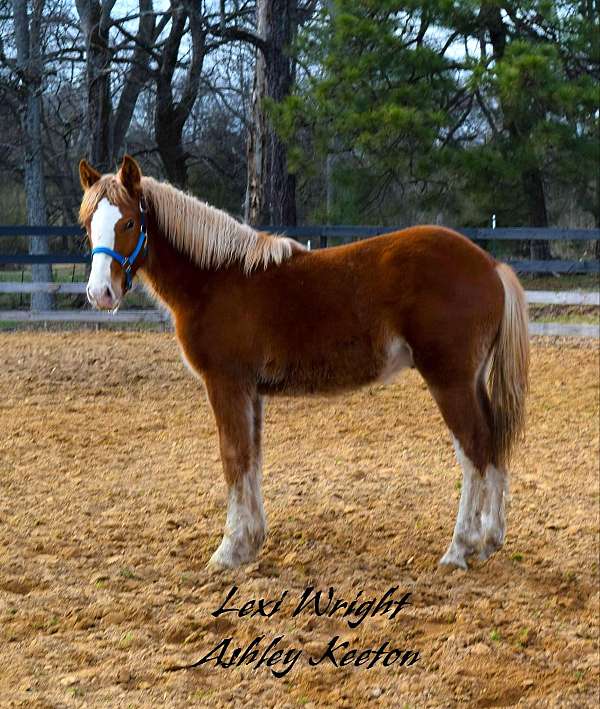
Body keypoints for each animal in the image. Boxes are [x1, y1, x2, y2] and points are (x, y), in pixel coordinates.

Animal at [77, 155, 528, 568]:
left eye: (129, 223)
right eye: (87, 225)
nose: (100, 293)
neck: (214, 278)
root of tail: (490, 265)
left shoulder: (226, 384)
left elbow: (233, 457)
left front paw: (228, 551)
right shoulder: (251, 392)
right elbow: (252, 459)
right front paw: (250, 543)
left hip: (450, 381)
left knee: (474, 450)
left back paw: (459, 548)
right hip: (472, 381)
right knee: (493, 443)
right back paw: (489, 540)